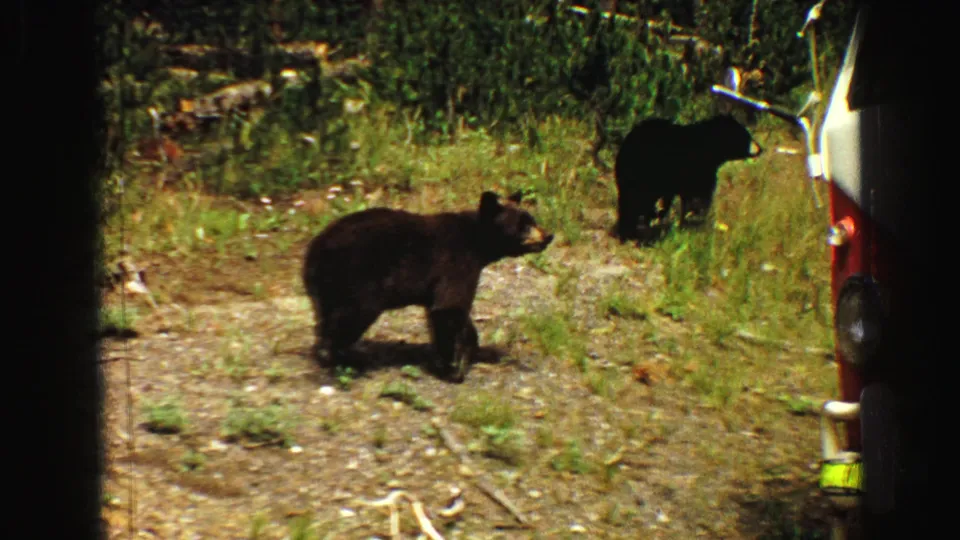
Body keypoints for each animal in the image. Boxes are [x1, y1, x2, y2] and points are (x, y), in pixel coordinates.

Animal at [302, 190, 554, 383]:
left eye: (532, 219)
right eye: (523, 225)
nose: (549, 235)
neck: (477, 243)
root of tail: (318, 246)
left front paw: (468, 348)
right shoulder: (456, 262)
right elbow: (449, 308)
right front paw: (453, 369)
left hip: (326, 286)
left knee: (326, 317)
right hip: (360, 278)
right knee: (352, 316)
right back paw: (346, 361)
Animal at [613, 114, 762, 243]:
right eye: (746, 136)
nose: (760, 148)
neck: (709, 148)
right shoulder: (697, 172)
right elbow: (699, 198)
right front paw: (696, 222)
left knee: (628, 202)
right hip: (646, 177)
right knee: (637, 202)